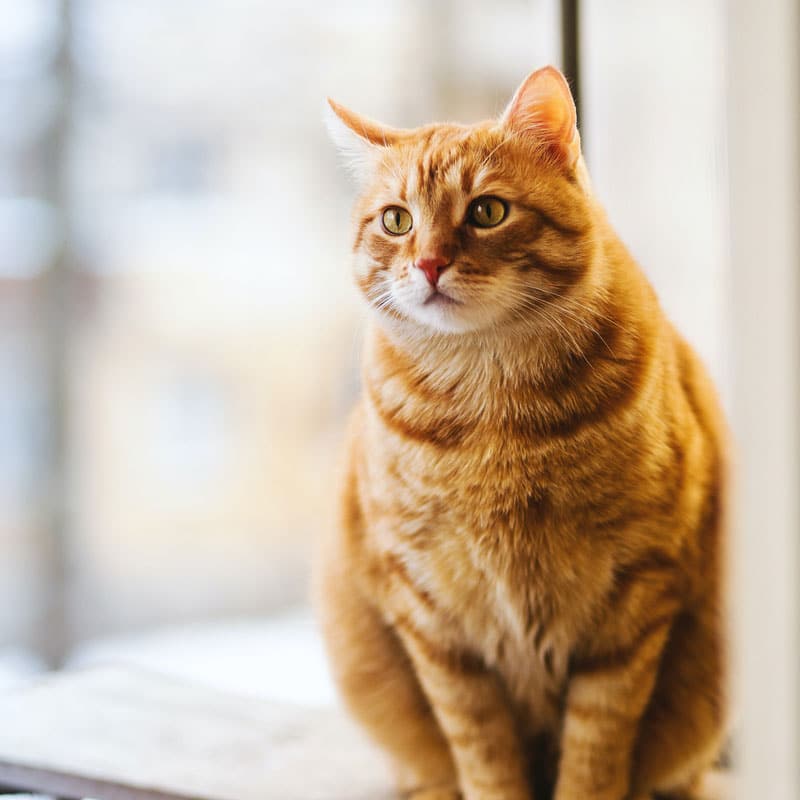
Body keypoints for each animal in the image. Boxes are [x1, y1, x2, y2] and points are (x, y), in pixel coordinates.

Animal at [316, 67, 728, 800]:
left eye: (486, 212)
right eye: (397, 220)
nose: (429, 264)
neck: (494, 411)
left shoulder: (636, 595)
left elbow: (596, 748)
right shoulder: (431, 616)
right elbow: (481, 749)